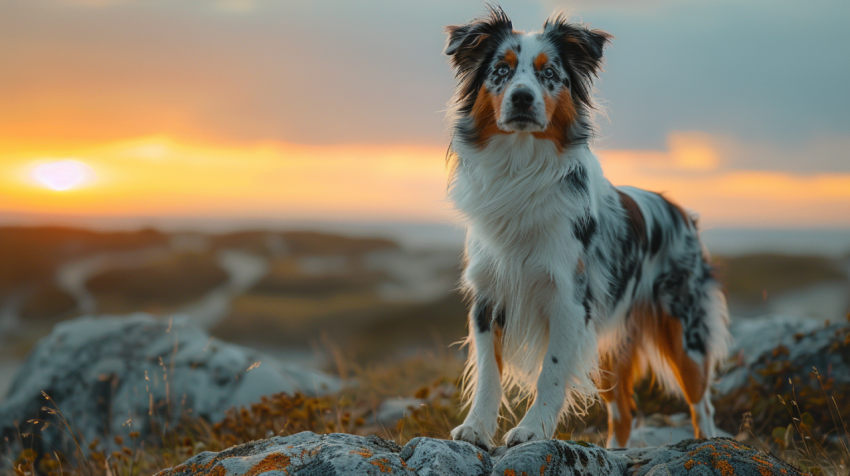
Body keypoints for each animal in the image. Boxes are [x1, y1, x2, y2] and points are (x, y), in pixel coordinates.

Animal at [444, 5, 728, 448]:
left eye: (549, 73)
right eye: (500, 71)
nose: (522, 97)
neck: (519, 169)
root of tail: (680, 210)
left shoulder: (570, 299)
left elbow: (552, 372)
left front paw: (532, 430)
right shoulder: (489, 296)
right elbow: (489, 373)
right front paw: (476, 428)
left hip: (683, 326)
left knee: (702, 402)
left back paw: (707, 444)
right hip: (610, 339)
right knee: (624, 412)